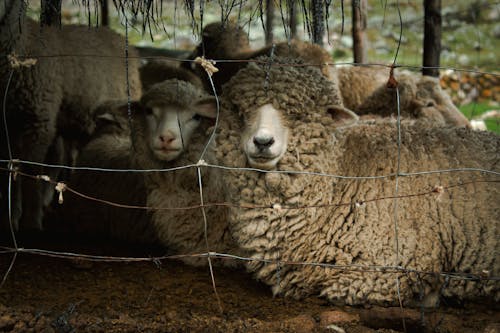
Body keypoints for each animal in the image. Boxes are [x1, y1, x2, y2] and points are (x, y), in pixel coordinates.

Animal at [0, 1, 143, 231]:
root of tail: (117, 35)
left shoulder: (39, 120)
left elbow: (32, 171)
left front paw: (32, 221)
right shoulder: (7, 122)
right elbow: (9, 169)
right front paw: (10, 219)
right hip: (72, 122)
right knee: (62, 158)